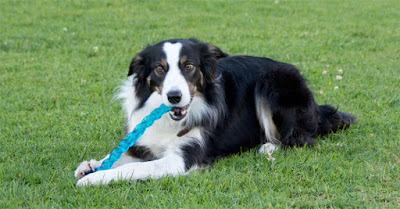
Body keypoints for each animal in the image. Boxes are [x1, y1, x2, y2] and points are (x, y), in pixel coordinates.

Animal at [75, 38, 356, 186]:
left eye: (189, 66)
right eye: (159, 68)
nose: (174, 96)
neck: (169, 119)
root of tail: (316, 107)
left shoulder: (181, 159)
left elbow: (133, 169)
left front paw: (94, 178)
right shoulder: (144, 142)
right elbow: (119, 156)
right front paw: (91, 165)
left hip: (273, 82)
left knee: (301, 139)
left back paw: (268, 147)